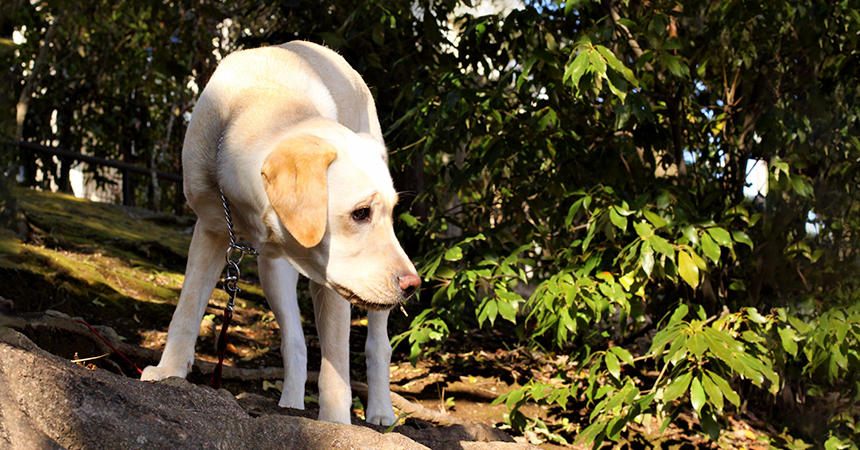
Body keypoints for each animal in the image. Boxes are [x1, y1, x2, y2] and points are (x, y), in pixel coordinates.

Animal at [141, 41, 420, 426]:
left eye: (390, 213)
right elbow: (186, 309)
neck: (254, 107)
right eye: (361, 213)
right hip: (273, 272)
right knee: (295, 341)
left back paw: (380, 410)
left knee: (378, 344)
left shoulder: (332, 282)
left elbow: (336, 366)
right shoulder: (211, 228)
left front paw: (335, 425)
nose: (413, 285)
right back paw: (290, 405)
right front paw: (168, 372)